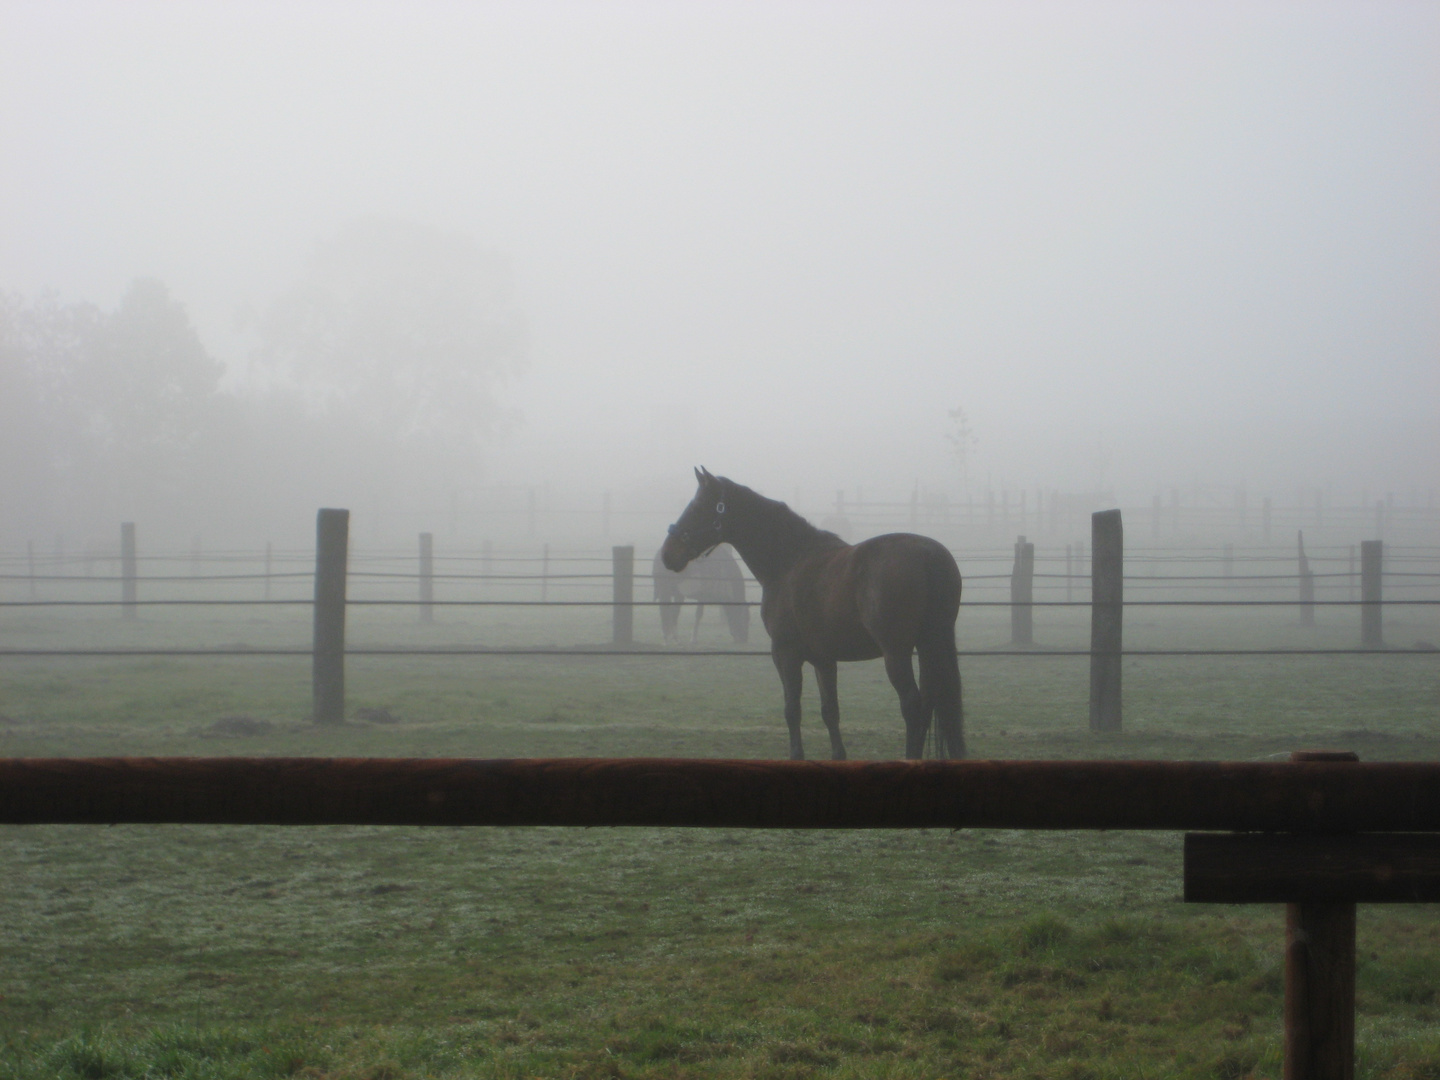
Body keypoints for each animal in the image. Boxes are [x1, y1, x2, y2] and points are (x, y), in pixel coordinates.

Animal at [662, 466, 967, 760]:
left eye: (698, 506)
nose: (667, 554)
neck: (789, 562)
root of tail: (928, 554)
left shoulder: (785, 654)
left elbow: (792, 709)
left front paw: (797, 754)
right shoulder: (824, 659)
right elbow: (830, 711)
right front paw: (838, 755)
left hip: (897, 653)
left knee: (913, 706)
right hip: (929, 645)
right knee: (929, 703)